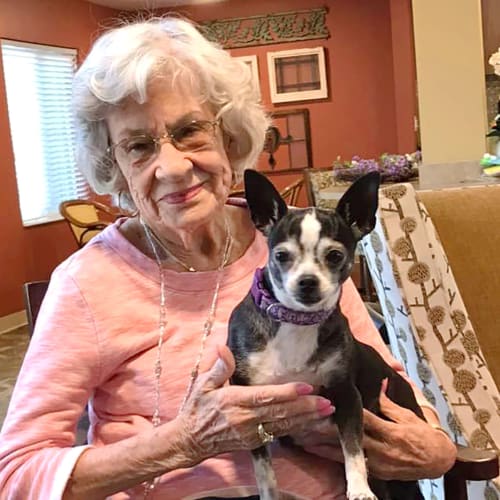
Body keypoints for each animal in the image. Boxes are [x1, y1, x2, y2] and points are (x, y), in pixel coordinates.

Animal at [229, 170, 424, 498]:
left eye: (334, 256)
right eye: (281, 256)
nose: (307, 281)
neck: (297, 321)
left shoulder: (347, 397)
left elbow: (353, 450)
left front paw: (359, 490)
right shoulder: (250, 407)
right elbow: (263, 467)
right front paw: (268, 492)